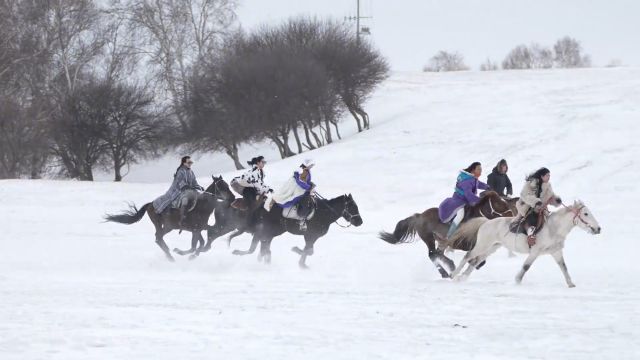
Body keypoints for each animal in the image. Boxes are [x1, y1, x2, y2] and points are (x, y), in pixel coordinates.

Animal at [104, 175, 234, 262]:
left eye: (227, 185)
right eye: (221, 186)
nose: (232, 198)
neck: (201, 207)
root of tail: (150, 204)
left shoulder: (197, 230)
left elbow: (199, 244)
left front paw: (188, 254)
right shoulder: (196, 230)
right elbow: (195, 246)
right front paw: (182, 253)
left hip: (167, 227)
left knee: (159, 238)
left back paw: (170, 255)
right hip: (162, 225)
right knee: (158, 237)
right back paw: (170, 257)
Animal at [378, 191, 512, 278]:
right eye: (498, 203)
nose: (511, 213)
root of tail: (419, 216)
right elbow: (476, 259)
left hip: (438, 241)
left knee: (438, 253)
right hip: (429, 238)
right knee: (433, 254)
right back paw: (447, 270)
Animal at [450, 201, 600, 288]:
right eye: (586, 214)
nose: (598, 229)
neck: (553, 228)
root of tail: (486, 222)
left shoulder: (556, 252)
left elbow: (564, 267)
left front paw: (570, 284)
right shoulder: (535, 251)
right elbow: (526, 266)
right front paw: (517, 280)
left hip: (491, 248)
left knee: (475, 261)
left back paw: (462, 277)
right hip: (482, 246)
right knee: (468, 256)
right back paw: (453, 274)